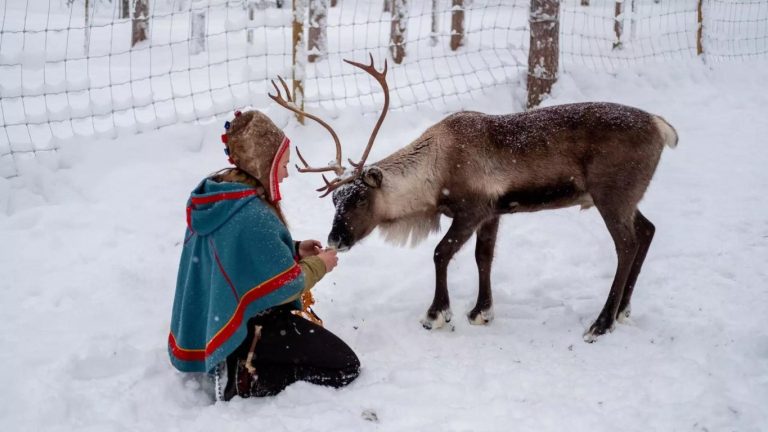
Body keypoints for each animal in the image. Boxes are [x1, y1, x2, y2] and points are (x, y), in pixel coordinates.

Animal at [269, 54, 678, 342]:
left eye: (358, 199)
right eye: (334, 200)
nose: (335, 239)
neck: (435, 172)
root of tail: (662, 127)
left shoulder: (471, 210)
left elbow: (441, 253)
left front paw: (437, 314)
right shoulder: (494, 212)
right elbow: (484, 257)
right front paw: (481, 311)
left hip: (612, 195)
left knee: (626, 244)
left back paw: (601, 323)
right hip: (627, 198)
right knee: (648, 230)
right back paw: (623, 310)